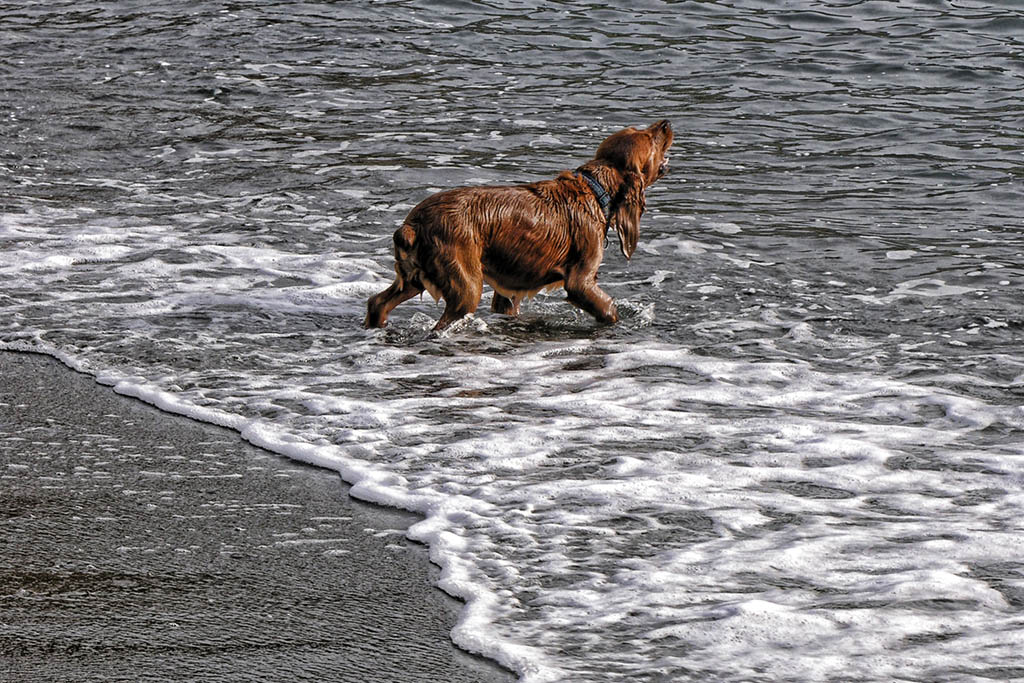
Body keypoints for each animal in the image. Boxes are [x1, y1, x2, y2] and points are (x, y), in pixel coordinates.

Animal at [366, 120, 671, 333]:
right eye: (650, 138)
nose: (666, 123)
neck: (595, 190)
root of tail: (412, 224)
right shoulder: (580, 281)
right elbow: (609, 310)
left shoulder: (509, 290)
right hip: (465, 287)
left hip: (414, 277)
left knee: (377, 302)